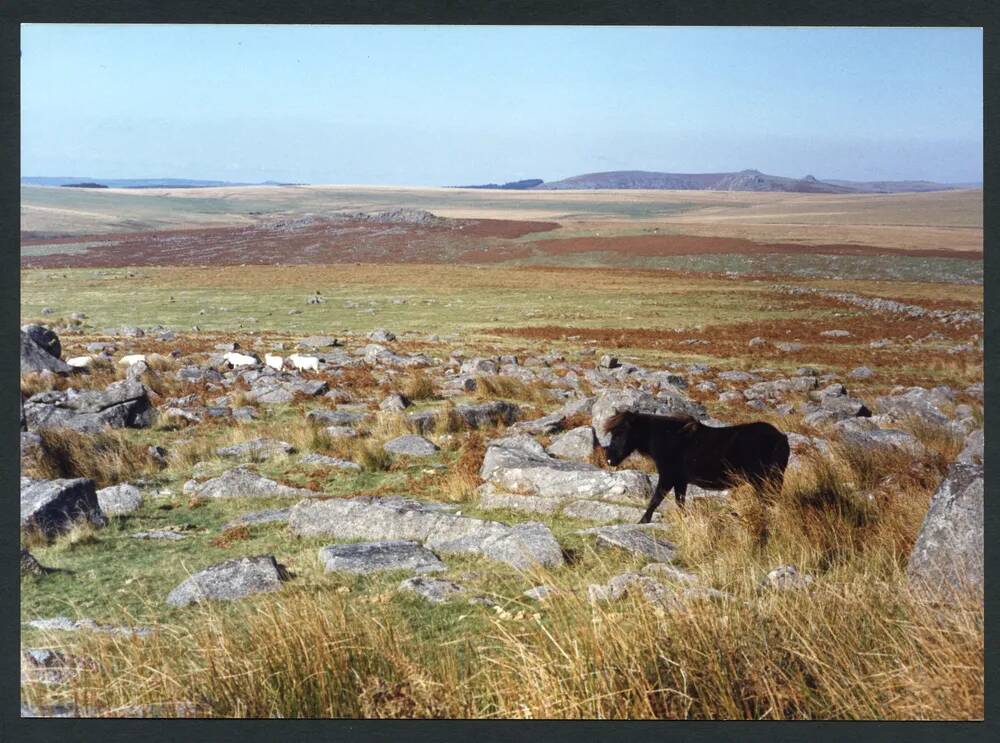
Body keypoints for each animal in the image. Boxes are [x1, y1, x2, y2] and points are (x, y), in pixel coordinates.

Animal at [600, 412, 788, 524]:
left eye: (620, 433)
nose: (610, 460)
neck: (667, 437)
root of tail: (780, 437)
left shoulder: (668, 477)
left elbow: (656, 499)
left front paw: (643, 520)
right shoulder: (680, 480)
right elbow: (680, 502)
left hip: (761, 480)